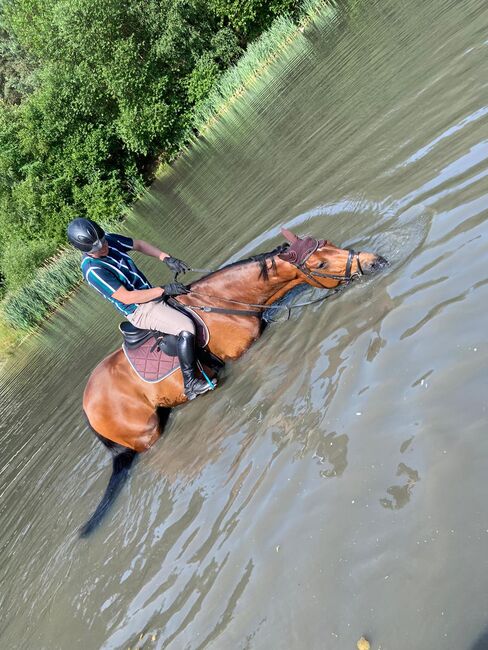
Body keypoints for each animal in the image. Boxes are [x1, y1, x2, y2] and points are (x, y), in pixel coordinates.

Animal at [79, 230, 386, 536]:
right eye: (321, 264)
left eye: (331, 245)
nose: (375, 261)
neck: (227, 302)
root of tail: (88, 407)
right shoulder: (248, 353)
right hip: (148, 436)